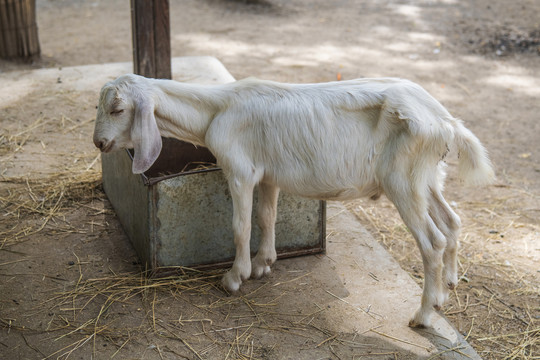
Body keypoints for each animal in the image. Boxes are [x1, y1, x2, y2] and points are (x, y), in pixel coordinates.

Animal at [93, 74, 494, 328]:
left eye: (117, 109)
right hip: (426, 177)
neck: (216, 111)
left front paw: (234, 277)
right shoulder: (268, 175)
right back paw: (445, 291)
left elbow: (240, 226)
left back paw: (423, 315)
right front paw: (264, 263)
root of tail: (445, 120)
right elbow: (266, 217)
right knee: (452, 221)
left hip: (403, 182)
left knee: (432, 242)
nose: (99, 142)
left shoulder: (240, 171)